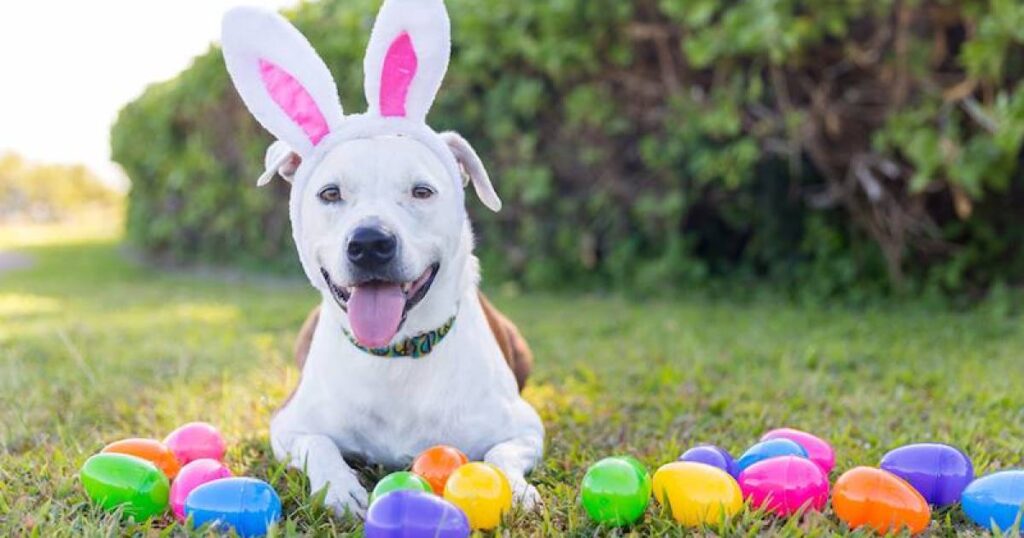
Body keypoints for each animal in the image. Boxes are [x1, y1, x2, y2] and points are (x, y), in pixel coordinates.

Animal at [221, 1, 548, 520]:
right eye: (330, 193)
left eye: (422, 191)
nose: (370, 242)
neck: (395, 354)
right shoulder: (289, 424)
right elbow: (319, 445)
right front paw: (340, 489)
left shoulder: (524, 427)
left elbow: (502, 454)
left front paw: (514, 489)